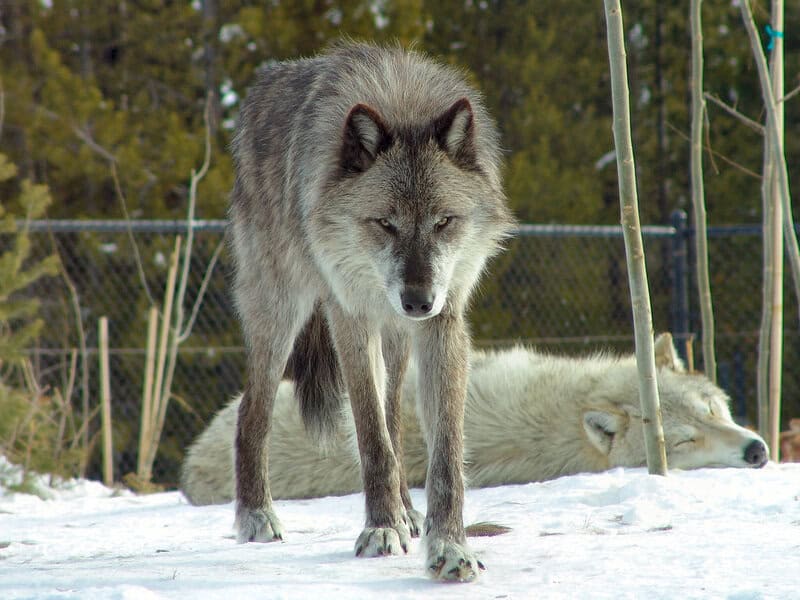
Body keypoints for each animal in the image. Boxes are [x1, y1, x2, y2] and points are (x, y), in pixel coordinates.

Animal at [227, 42, 514, 582]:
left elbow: (443, 455)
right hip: (279, 313)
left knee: (394, 418)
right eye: (385, 223)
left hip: (397, 341)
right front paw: (381, 529)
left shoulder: (444, 322)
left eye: (444, 222)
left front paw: (449, 547)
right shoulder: (351, 318)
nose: (417, 301)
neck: (400, 103)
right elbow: (370, 438)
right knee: (251, 412)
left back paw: (408, 511)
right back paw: (256, 516)